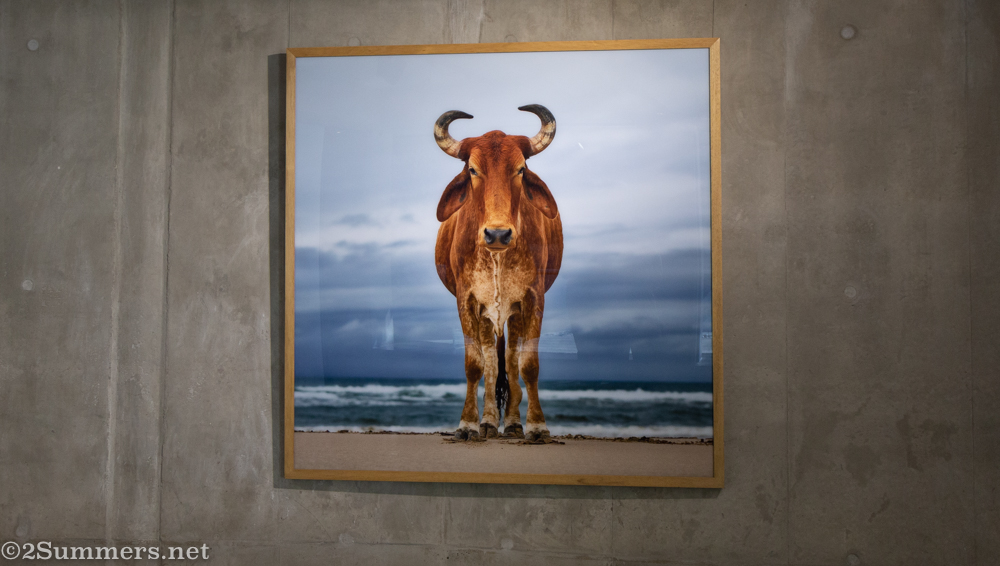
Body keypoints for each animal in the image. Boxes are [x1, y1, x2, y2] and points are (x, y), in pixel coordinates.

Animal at [433, 105, 563, 442]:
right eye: (472, 170)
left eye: (520, 169)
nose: (498, 234)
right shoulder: (467, 300)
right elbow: (475, 364)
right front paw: (467, 424)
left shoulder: (533, 299)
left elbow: (528, 364)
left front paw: (537, 425)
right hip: (487, 316)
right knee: (493, 363)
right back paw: (489, 422)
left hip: (513, 314)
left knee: (511, 361)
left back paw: (513, 423)